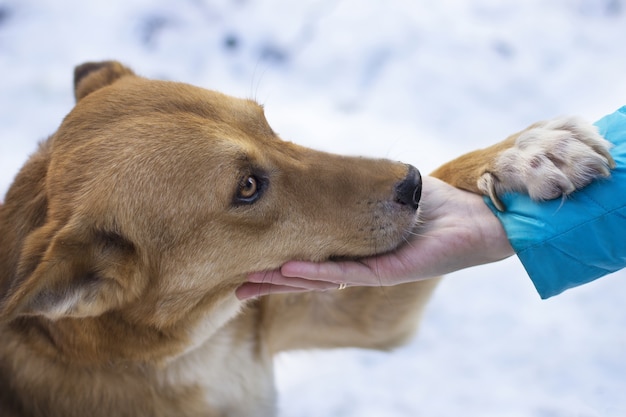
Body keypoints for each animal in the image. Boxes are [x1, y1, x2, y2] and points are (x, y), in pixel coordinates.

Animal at [0, 61, 616, 416]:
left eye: (267, 124)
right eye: (248, 187)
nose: (412, 184)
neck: (191, 349)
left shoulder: (347, 316)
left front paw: (523, 154)